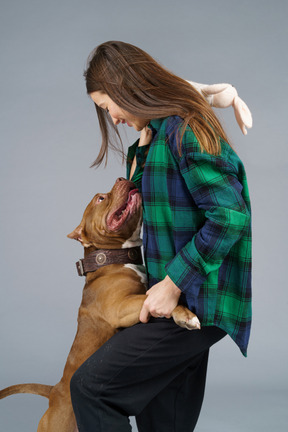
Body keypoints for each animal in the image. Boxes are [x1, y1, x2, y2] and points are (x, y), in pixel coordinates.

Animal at [0, 177, 200, 430]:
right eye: (100, 198)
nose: (122, 178)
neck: (113, 259)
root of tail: (55, 391)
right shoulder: (120, 308)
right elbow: (152, 298)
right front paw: (185, 316)